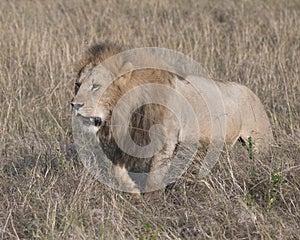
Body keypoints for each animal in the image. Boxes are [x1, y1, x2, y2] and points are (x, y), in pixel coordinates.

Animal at [71, 42, 274, 197]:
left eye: (96, 86)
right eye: (78, 85)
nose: (74, 105)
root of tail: (253, 94)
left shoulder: (165, 144)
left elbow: (154, 179)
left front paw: (151, 205)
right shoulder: (129, 142)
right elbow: (117, 171)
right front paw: (134, 193)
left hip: (259, 143)